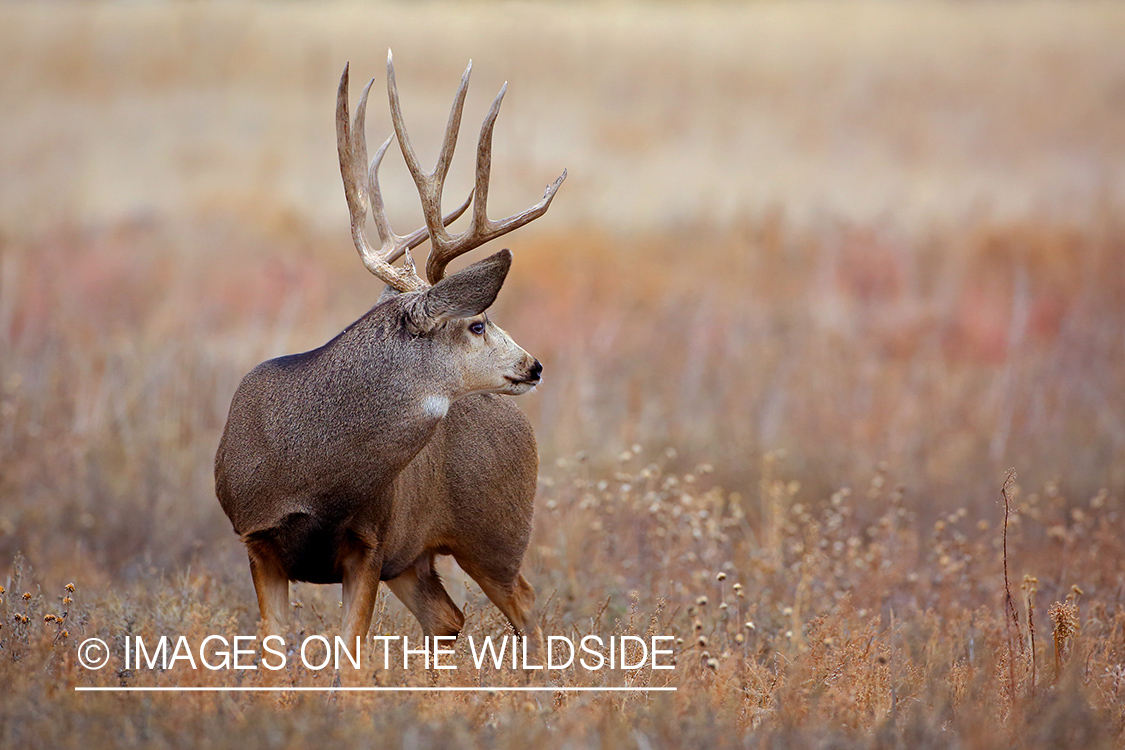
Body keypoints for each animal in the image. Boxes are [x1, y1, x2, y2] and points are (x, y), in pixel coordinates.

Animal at [215, 50, 565, 653]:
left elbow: (351, 656)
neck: (310, 476)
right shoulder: (256, 539)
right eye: (476, 323)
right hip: (419, 555)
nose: (533, 365)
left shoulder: (370, 542)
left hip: (497, 529)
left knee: (524, 603)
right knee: (448, 617)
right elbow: (272, 651)